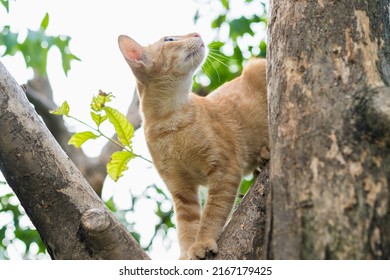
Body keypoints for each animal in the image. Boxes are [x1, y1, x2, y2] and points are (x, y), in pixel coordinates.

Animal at [118, 32, 268, 258]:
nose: (197, 33)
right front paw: (187, 252)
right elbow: (187, 225)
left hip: (257, 67)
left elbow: (213, 212)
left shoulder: (225, 168)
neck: (169, 121)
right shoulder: (180, 188)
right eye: (169, 39)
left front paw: (203, 241)